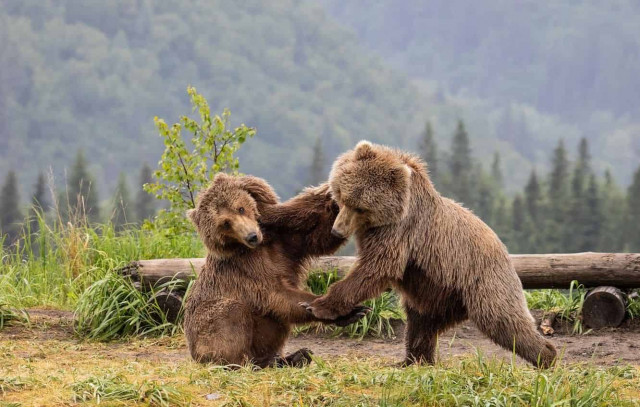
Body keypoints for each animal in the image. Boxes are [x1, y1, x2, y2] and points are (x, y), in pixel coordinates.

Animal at [182, 174, 368, 368]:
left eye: (240, 208)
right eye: (225, 223)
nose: (251, 236)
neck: (262, 244)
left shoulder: (283, 242)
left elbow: (319, 238)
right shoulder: (246, 268)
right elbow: (277, 295)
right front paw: (348, 311)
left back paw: (294, 356)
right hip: (203, 328)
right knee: (230, 314)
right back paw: (253, 362)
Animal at [302, 143, 556, 370]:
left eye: (361, 208)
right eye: (343, 196)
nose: (338, 230)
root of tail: (504, 250)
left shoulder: (400, 229)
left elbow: (376, 267)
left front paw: (319, 305)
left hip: (480, 280)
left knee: (502, 320)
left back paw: (546, 356)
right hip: (435, 291)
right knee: (420, 324)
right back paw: (412, 360)